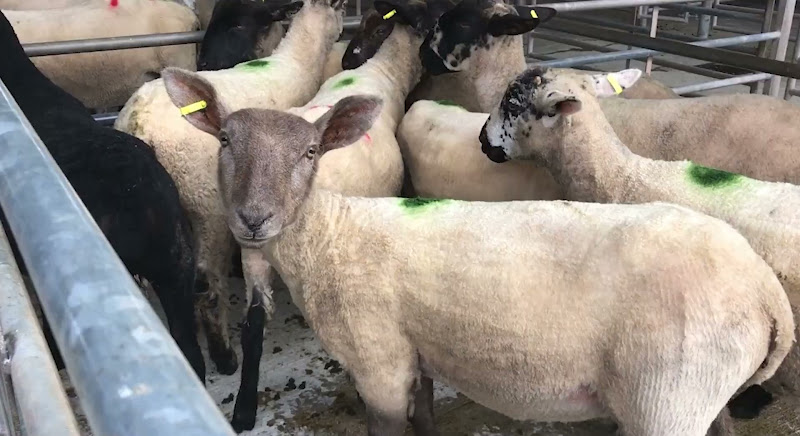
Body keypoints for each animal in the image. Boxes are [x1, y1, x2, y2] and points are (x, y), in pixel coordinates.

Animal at [162, 0, 450, 429]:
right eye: (225, 141)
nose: (252, 219)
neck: (383, 71)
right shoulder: (256, 253)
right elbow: (254, 325)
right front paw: (244, 408)